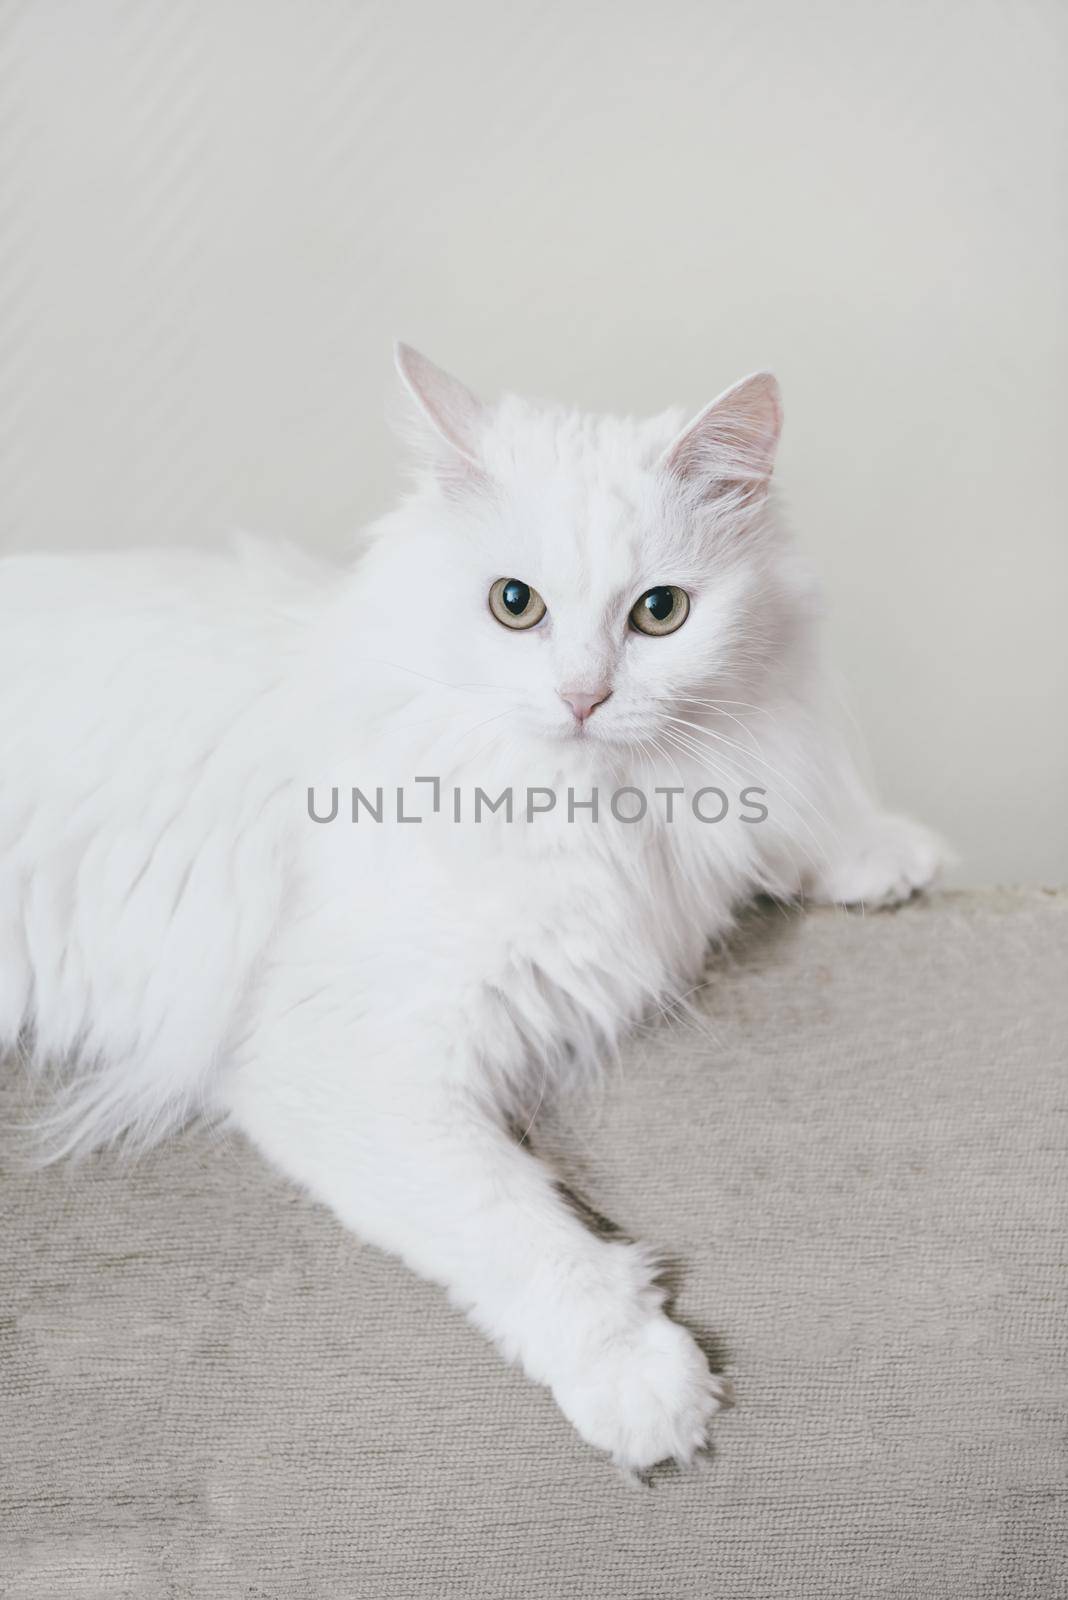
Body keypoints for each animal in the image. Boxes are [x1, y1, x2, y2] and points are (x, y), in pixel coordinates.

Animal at [0, 350, 940, 1472]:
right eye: (514, 604)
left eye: (660, 613)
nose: (582, 698)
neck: (593, 808)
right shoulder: (344, 1057)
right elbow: (523, 1229)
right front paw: (642, 1384)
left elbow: (787, 824)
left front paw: (885, 853)